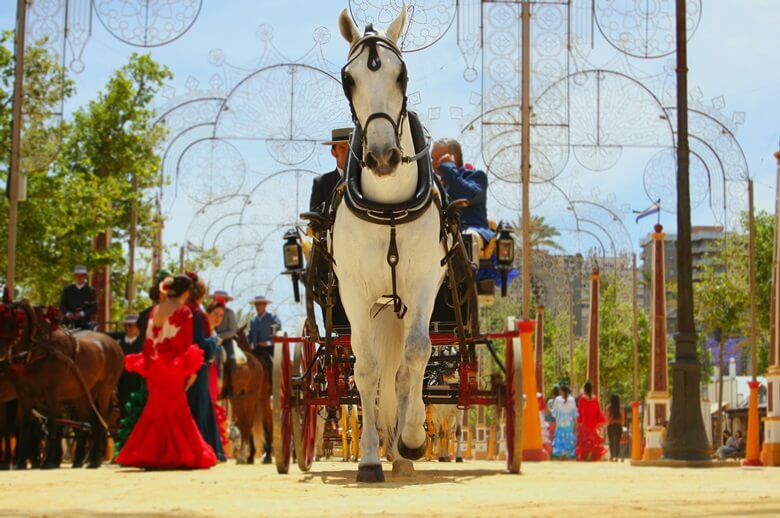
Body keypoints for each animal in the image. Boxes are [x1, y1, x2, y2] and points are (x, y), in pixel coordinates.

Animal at [0, 302, 123, 470]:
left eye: (11, 323)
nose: (2, 355)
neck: (39, 351)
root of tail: (113, 343)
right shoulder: (25, 395)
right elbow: (25, 425)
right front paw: (20, 462)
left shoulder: (51, 393)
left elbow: (52, 424)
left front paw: (48, 461)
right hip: (83, 394)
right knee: (88, 423)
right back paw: (84, 459)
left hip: (104, 391)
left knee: (100, 420)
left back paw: (94, 459)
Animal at [225, 330, 272, 468]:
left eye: (237, 340)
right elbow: (246, 424)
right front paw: (249, 456)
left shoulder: (261, 400)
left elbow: (263, 423)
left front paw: (266, 456)